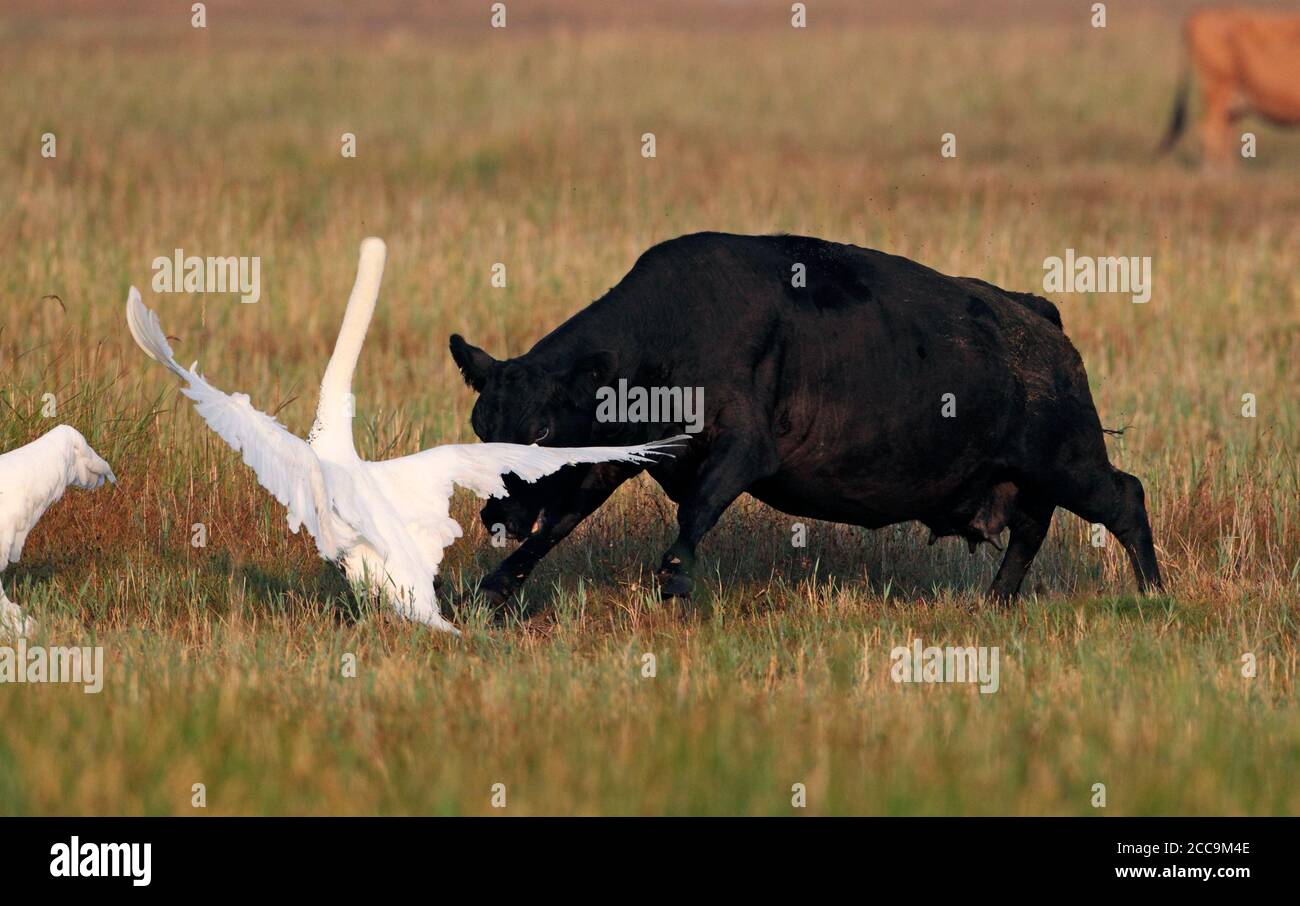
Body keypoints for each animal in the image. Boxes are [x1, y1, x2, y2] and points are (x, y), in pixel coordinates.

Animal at [452, 232, 1164, 610]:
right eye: (482, 429)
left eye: (542, 433)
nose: (495, 513)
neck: (672, 330)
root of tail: (1034, 313)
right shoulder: (619, 459)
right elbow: (558, 525)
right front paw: (493, 588)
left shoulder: (744, 449)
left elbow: (697, 510)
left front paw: (676, 577)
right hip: (1033, 475)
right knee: (1031, 529)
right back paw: (996, 600)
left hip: (1069, 460)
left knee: (1125, 498)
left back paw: (1154, 594)